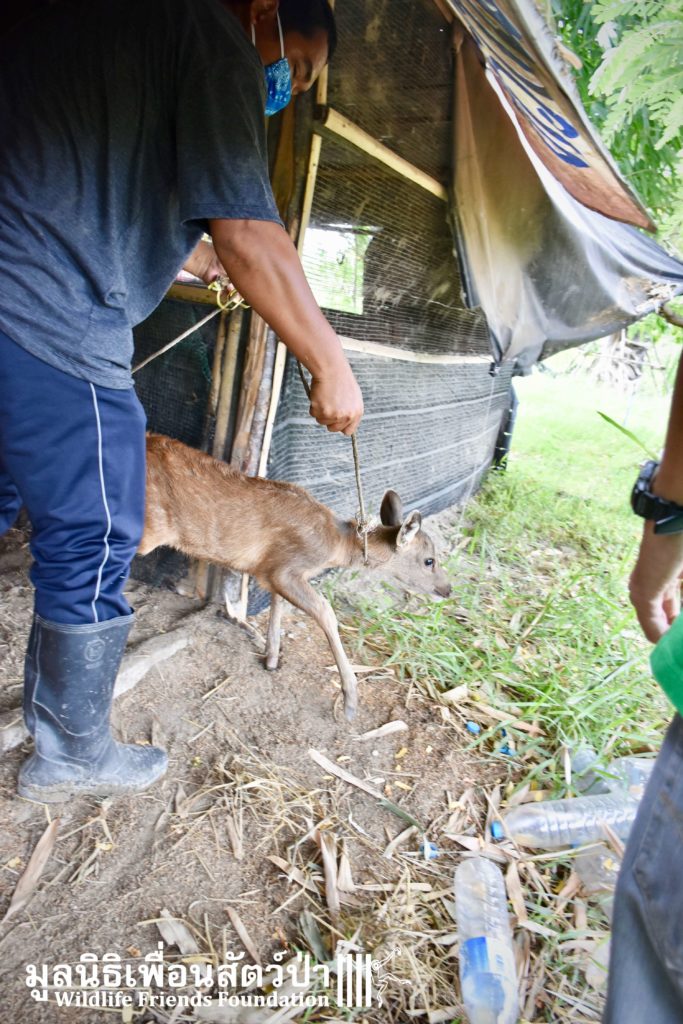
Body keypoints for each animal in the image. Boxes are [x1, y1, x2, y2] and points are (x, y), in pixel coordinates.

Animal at [139, 433, 452, 720]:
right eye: (429, 560)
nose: (448, 589)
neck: (336, 545)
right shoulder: (287, 567)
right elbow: (325, 612)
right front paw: (350, 700)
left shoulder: (271, 570)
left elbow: (277, 605)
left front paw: (271, 658)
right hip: (147, 527)